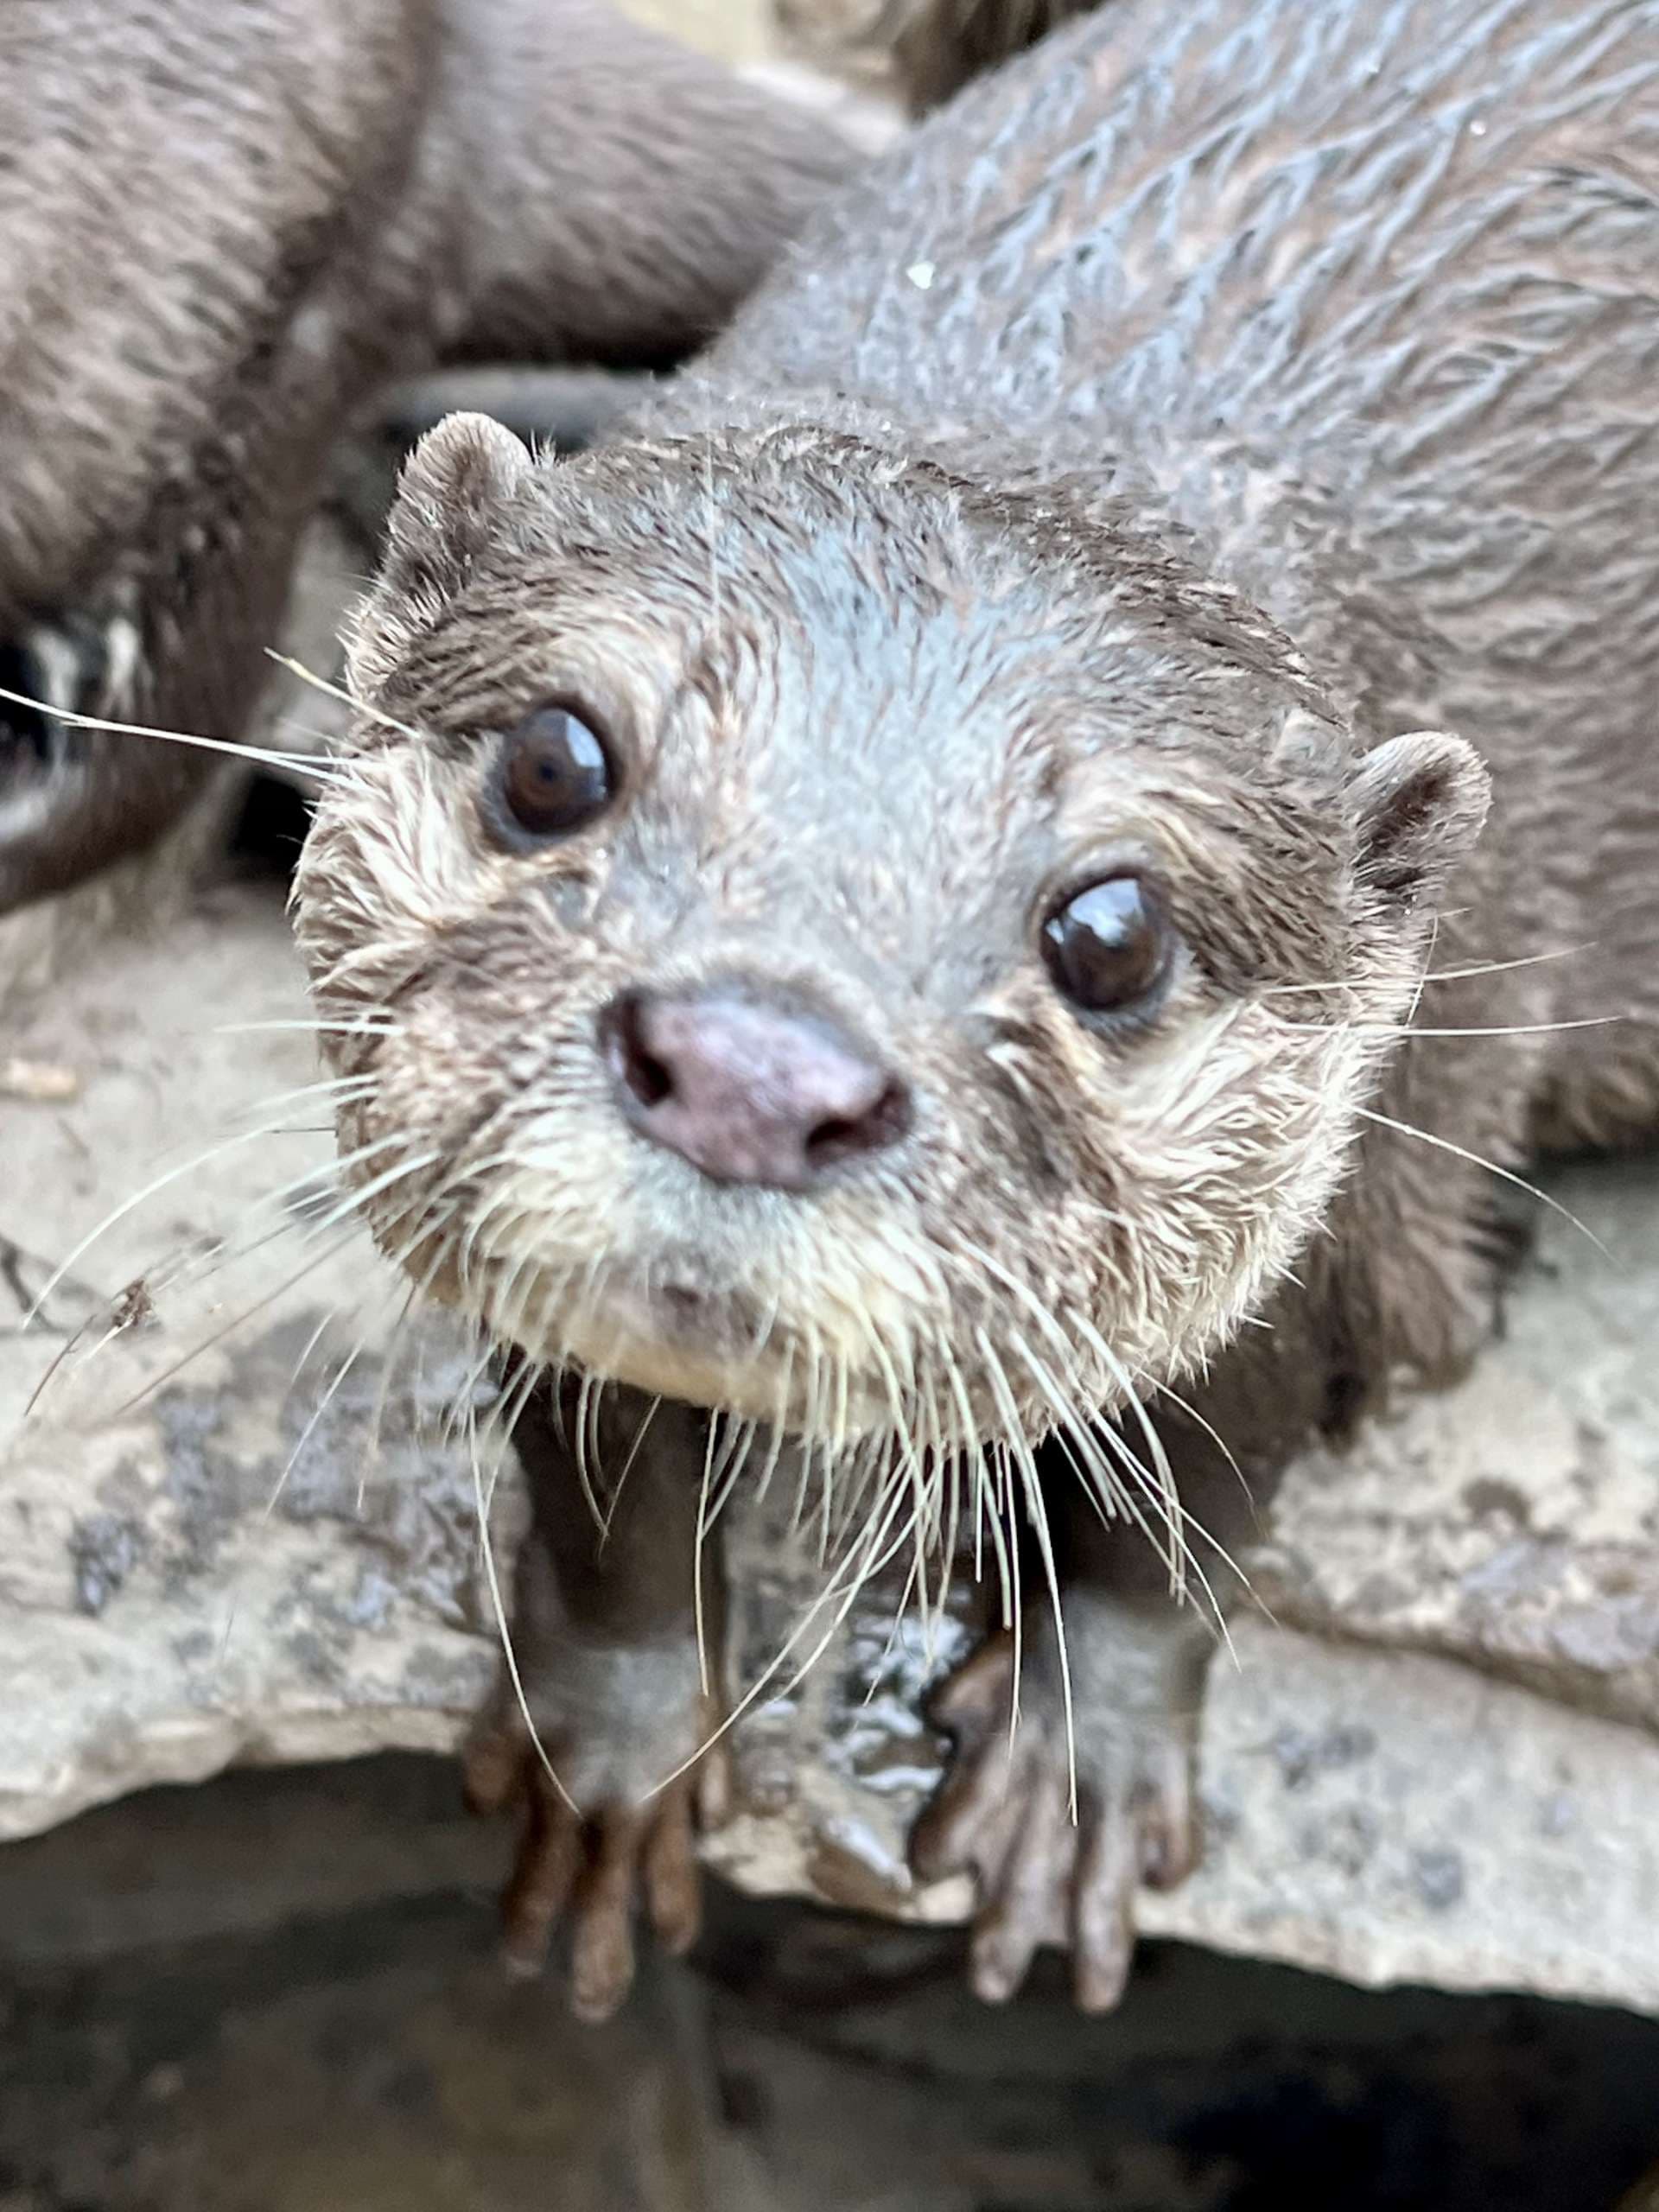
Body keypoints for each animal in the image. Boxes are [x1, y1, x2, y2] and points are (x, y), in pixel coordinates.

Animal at [293, 0, 1659, 2021]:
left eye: (1115, 932)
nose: (754, 1071)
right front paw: (618, 1746)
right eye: (556, 757)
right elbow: (600, 1470)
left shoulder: (1388, 1155)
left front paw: (1083, 1754)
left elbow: (1223, 1437)